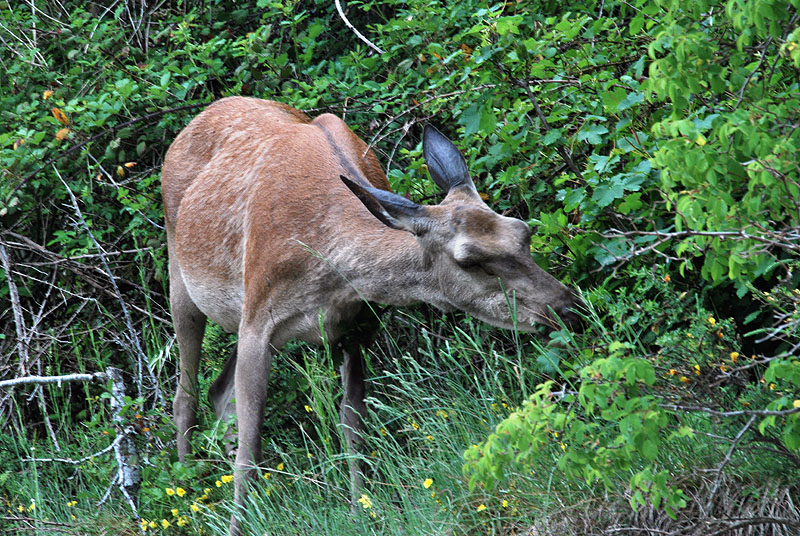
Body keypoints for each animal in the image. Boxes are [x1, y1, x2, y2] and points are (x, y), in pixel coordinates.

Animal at [161, 97, 580, 532]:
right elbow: (251, 448)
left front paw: (361, 506)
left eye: (523, 231)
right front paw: (237, 526)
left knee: (219, 391)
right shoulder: (259, 319)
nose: (568, 309)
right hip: (182, 280)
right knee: (186, 393)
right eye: (469, 260)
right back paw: (187, 487)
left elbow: (353, 422)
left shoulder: (359, 325)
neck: (331, 268)